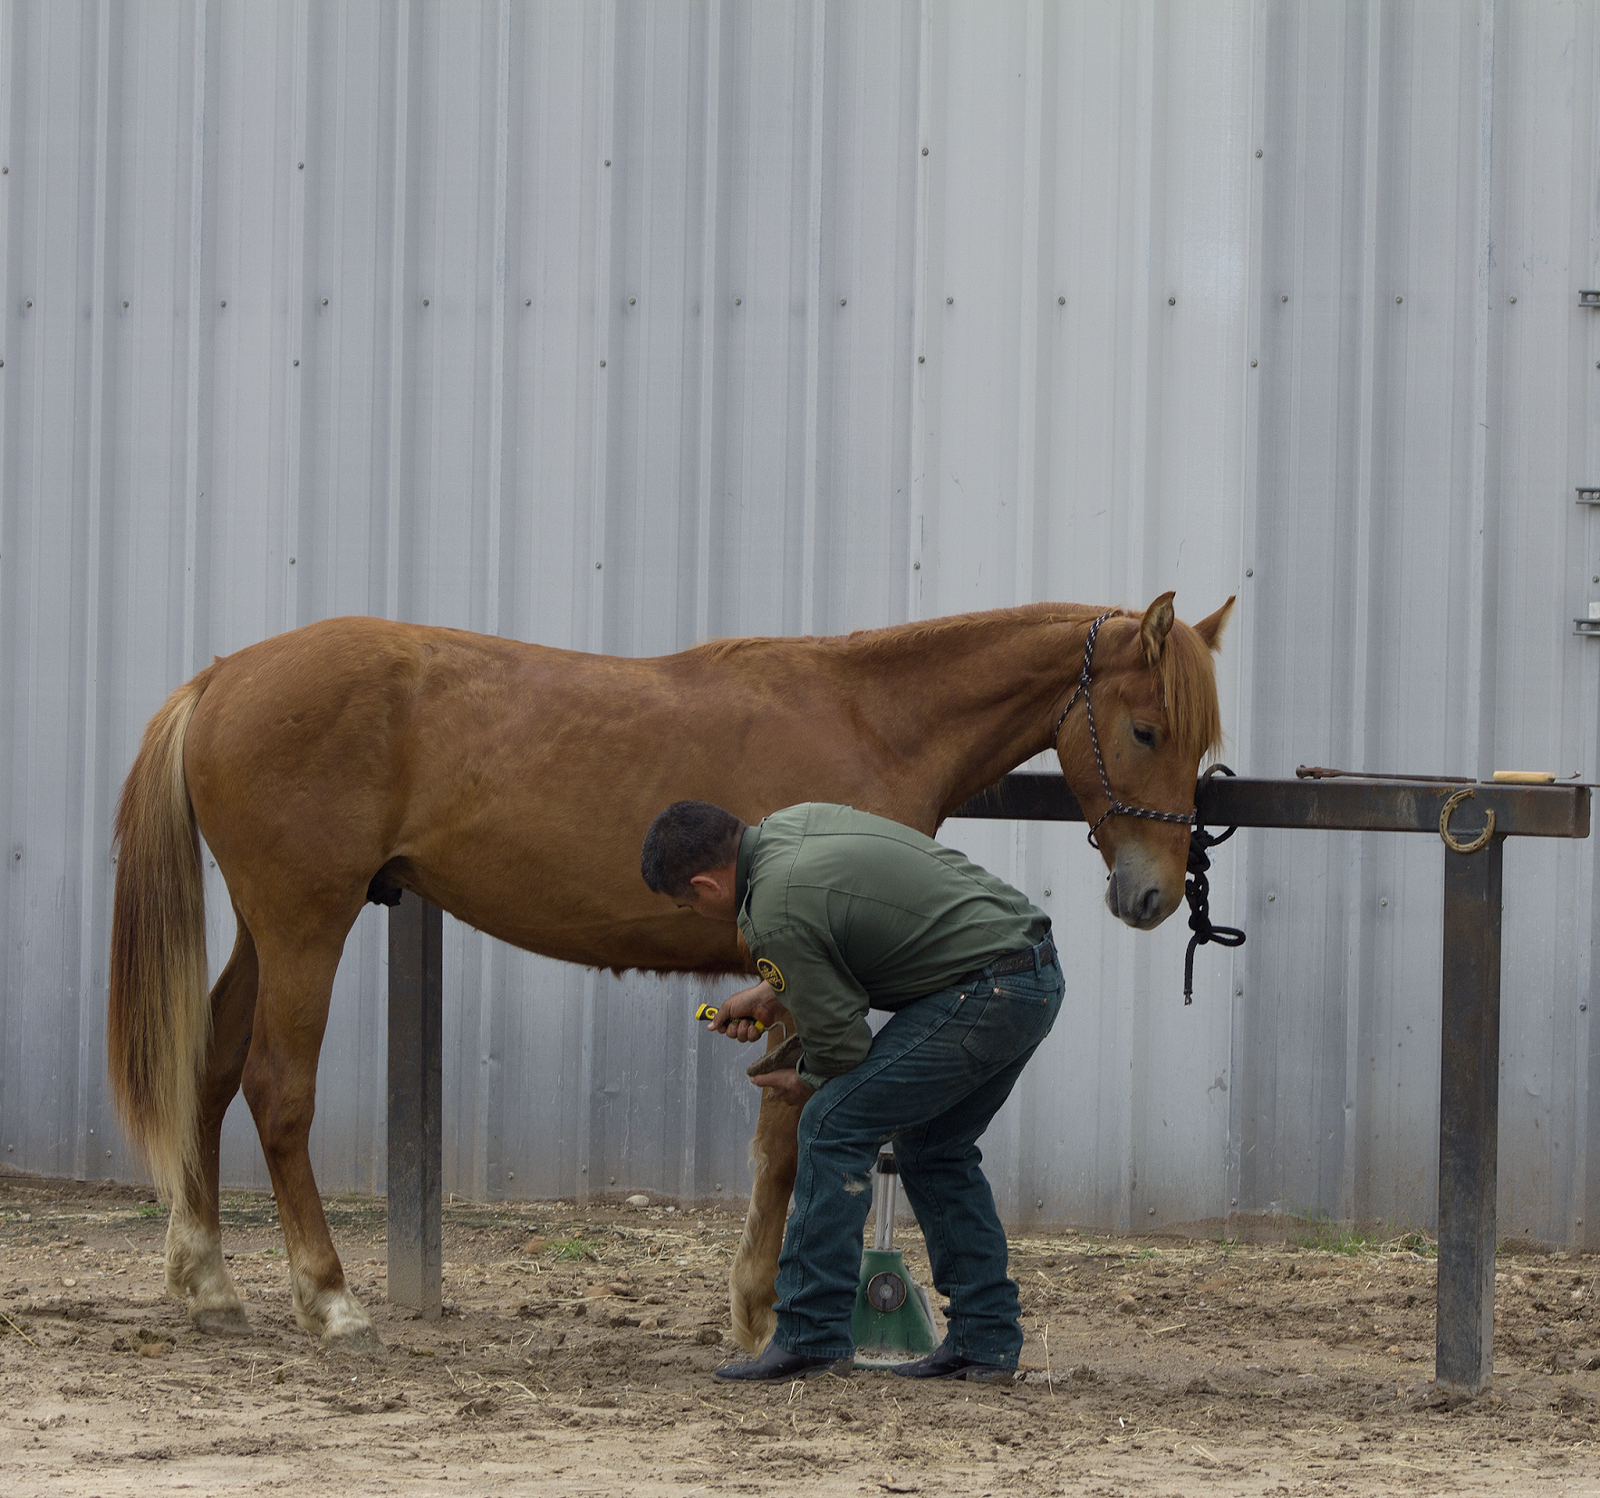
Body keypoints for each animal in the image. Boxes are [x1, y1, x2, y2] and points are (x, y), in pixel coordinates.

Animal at [108, 591, 1232, 1354]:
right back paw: (331, 1299)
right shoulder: (807, 973)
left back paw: (207, 1281)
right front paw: (760, 1312)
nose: (1150, 896)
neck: (869, 717)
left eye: (1201, 746)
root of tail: (222, 677)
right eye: (1144, 728)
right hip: (307, 922)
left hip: (266, 930)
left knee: (209, 1072)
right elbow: (782, 1143)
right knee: (275, 1089)